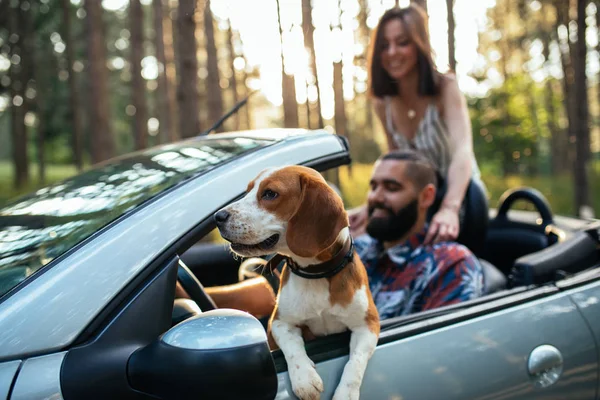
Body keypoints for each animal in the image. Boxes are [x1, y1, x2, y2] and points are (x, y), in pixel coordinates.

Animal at [213, 166, 378, 400]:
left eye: (270, 194)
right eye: (248, 191)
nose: (218, 217)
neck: (317, 273)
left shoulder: (368, 324)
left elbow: (355, 363)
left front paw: (345, 394)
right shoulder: (280, 322)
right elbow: (293, 346)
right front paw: (305, 379)